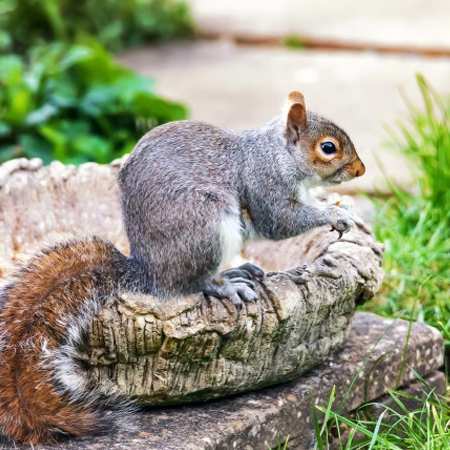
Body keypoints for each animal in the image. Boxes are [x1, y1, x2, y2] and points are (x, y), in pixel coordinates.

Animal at [0, 89, 366, 444]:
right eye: (328, 147)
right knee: (190, 285)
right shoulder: (265, 183)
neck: (278, 153)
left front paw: (341, 207)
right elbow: (279, 221)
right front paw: (334, 213)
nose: (360, 171)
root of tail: (149, 274)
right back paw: (225, 286)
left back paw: (234, 272)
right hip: (207, 223)